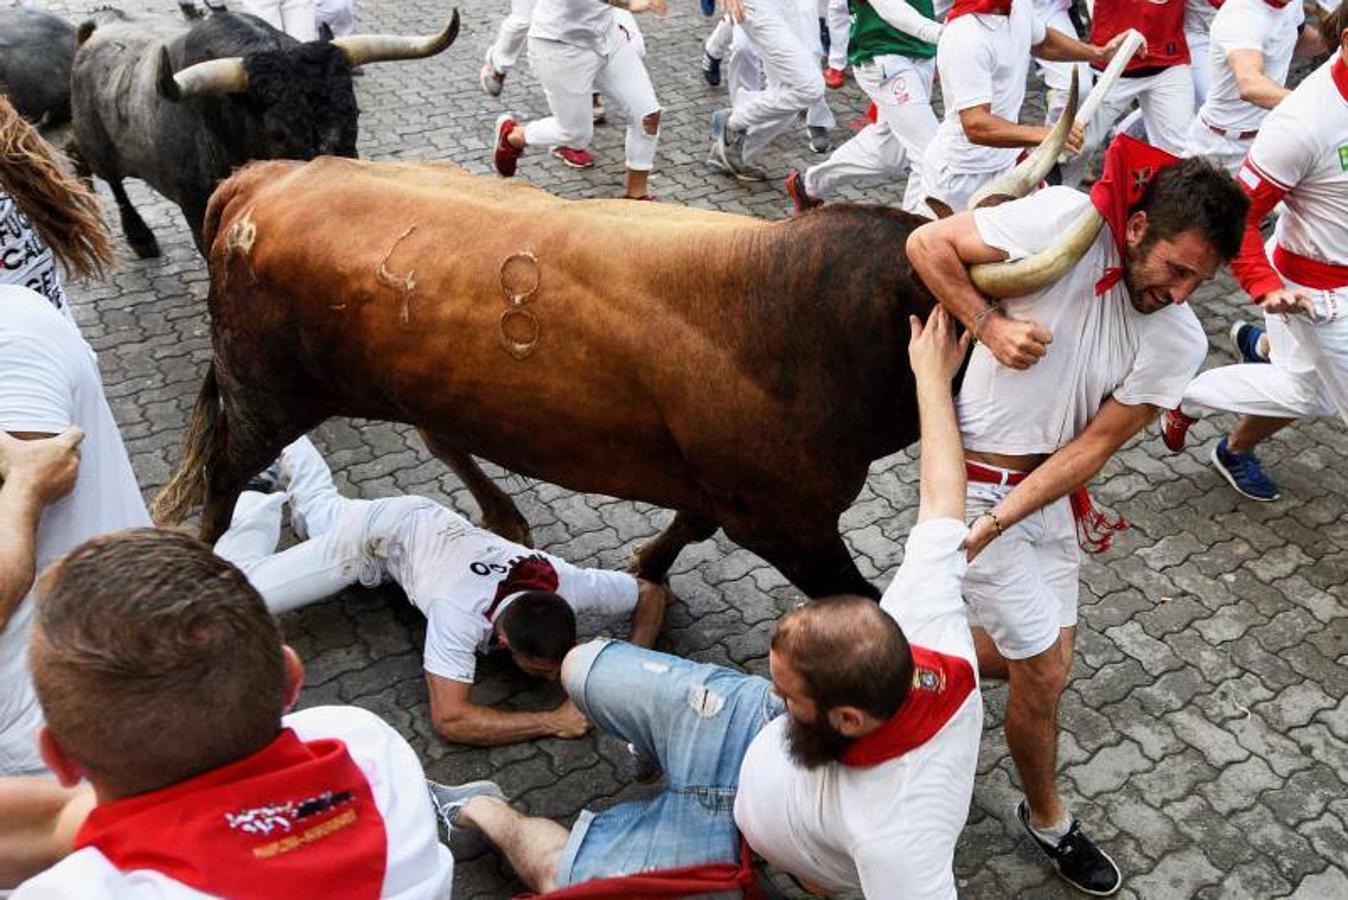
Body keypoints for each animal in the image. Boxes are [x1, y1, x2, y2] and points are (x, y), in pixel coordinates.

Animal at [155, 147, 1073, 598]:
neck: (795, 323)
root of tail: (266, 176)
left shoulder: (729, 493)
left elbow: (689, 526)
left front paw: (648, 565)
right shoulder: (789, 525)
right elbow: (861, 602)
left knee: (439, 432)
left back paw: (505, 515)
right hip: (264, 388)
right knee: (227, 469)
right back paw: (210, 564)